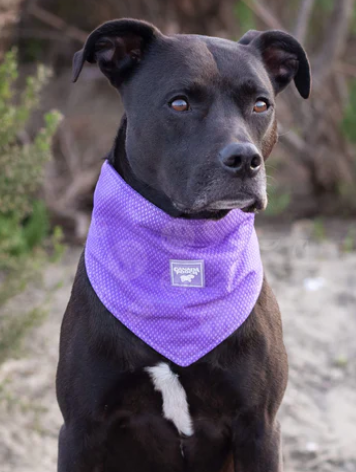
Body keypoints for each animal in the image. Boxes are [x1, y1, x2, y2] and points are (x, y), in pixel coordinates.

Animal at [55, 18, 308, 472]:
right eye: (179, 104)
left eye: (261, 104)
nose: (245, 160)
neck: (183, 254)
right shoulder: (80, 429)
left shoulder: (260, 426)